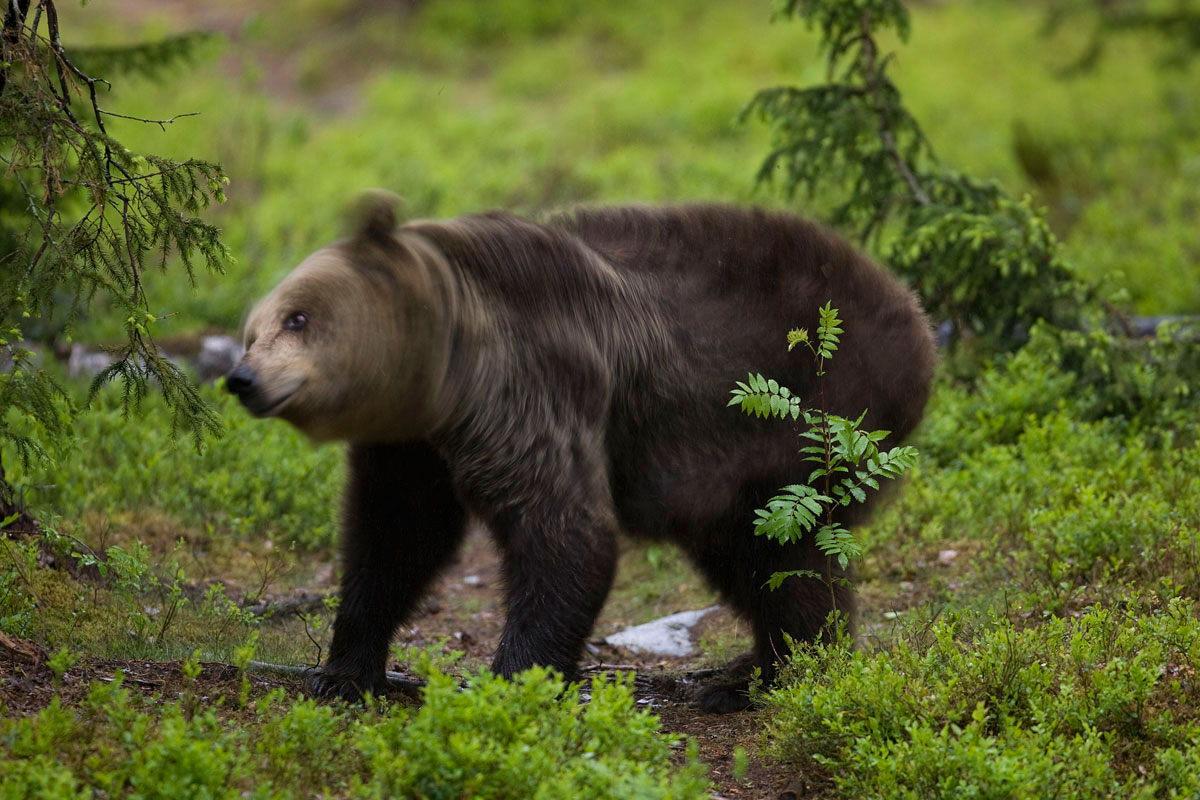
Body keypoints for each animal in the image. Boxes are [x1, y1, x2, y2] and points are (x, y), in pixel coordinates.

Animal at [225, 195, 936, 714]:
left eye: (297, 319)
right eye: (251, 329)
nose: (242, 378)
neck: (444, 372)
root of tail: (913, 311)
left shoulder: (526, 386)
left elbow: (564, 531)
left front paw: (510, 682)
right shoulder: (411, 446)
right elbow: (396, 536)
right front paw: (343, 674)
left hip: (806, 412)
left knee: (786, 554)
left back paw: (779, 672)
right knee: (747, 554)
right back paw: (747, 668)